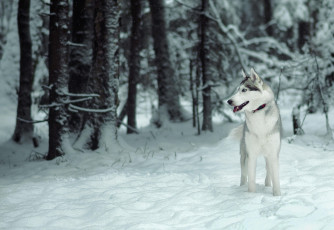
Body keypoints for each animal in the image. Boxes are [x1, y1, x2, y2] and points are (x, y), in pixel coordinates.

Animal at [228, 68, 280, 196]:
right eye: (237, 90)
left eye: (244, 90)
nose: (229, 101)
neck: (258, 112)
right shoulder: (251, 154)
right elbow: (251, 179)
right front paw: (251, 196)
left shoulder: (273, 154)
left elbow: (276, 179)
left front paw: (277, 195)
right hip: (243, 155)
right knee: (243, 175)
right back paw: (242, 186)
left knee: (268, 173)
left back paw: (267, 186)